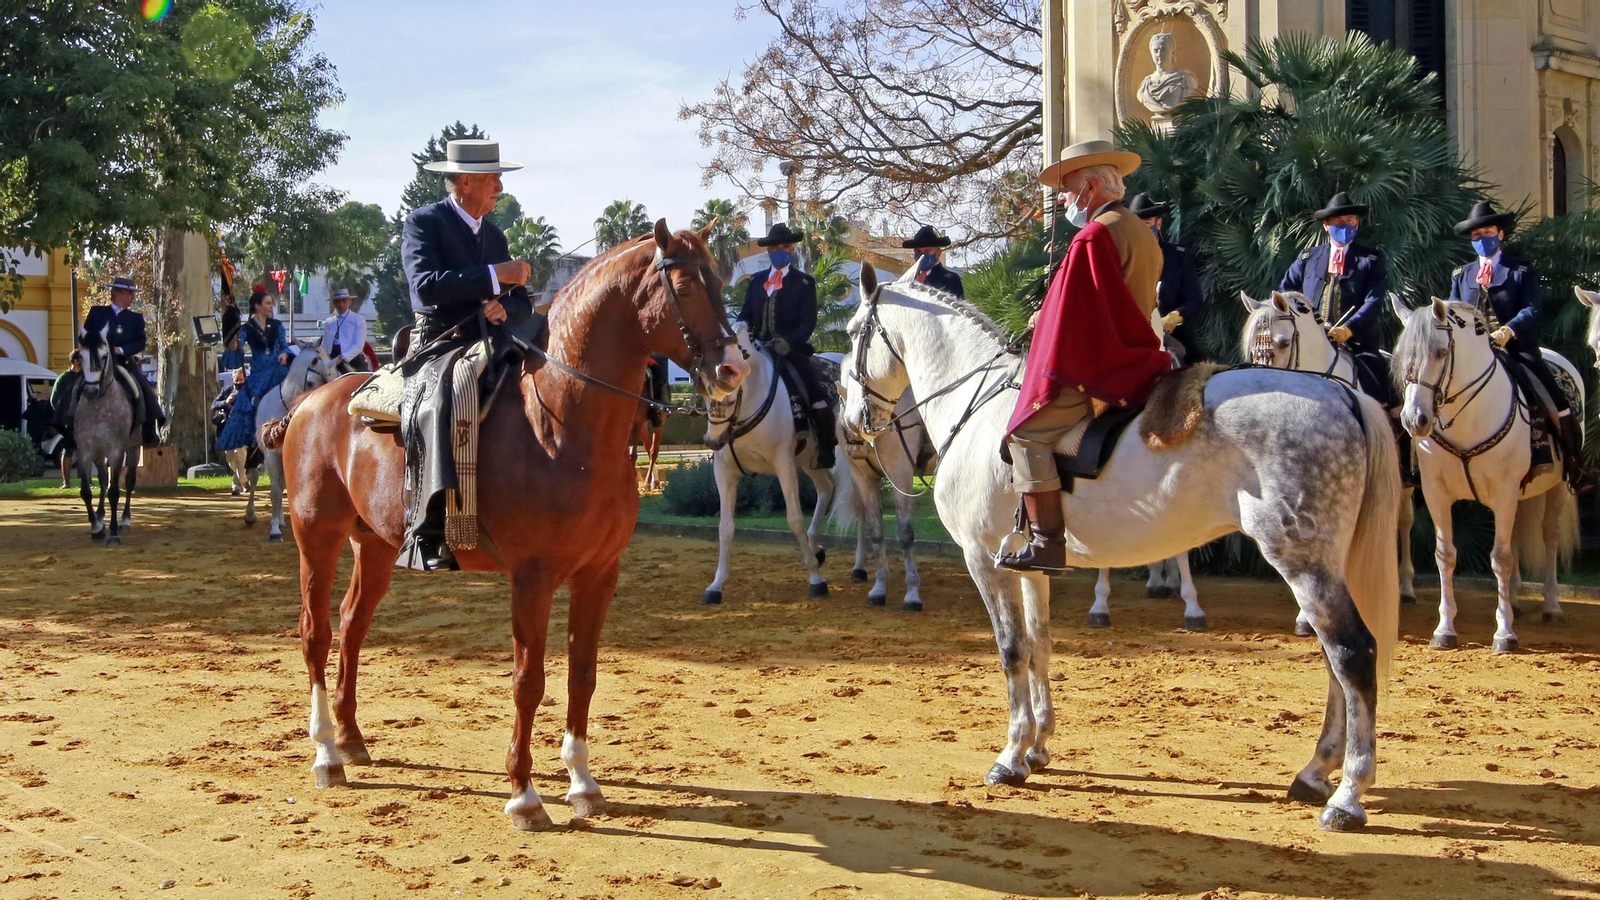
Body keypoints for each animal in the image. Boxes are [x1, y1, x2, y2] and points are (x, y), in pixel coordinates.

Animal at [70, 326, 143, 545]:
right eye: (81, 356)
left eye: (104, 356)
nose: (91, 390)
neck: (98, 407)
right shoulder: (85, 451)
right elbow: (86, 491)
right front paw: (96, 528)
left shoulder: (116, 451)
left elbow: (114, 491)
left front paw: (113, 532)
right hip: (98, 453)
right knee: (103, 479)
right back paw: (101, 516)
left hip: (133, 449)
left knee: (128, 481)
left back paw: (125, 520)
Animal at [270, 221, 747, 831]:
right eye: (685, 287)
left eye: (720, 282)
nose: (733, 368)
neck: (561, 423)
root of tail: (310, 400)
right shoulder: (533, 576)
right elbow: (529, 679)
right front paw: (524, 793)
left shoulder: (599, 574)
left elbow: (583, 673)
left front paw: (583, 783)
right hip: (317, 538)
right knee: (317, 633)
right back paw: (327, 753)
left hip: (374, 546)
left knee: (353, 626)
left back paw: (352, 738)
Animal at [698, 322, 855, 605]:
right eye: (704, 394)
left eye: (731, 396)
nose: (713, 441)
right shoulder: (724, 472)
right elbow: (725, 527)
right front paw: (716, 586)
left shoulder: (784, 464)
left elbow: (794, 519)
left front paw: (816, 580)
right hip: (810, 461)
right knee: (826, 487)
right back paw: (815, 548)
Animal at [841, 266, 1399, 831]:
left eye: (851, 333)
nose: (855, 422)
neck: (980, 409)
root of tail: (1338, 394)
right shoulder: (1029, 567)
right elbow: (1040, 646)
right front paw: (1038, 747)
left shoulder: (984, 561)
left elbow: (1012, 650)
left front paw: (1011, 756)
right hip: (1326, 567)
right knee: (1334, 662)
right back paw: (1315, 771)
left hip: (1304, 564)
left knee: (1352, 654)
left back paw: (1347, 795)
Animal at [1391, 296, 1583, 653]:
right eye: (1400, 358)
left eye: (1441, 352)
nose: (1414, 420)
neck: (1469, 417)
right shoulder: (1437, 493)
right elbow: (1445, 556)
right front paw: (1444, 630)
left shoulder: (1504, 492)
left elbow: (1500, 558)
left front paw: (1504, 633)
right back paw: (1517, 601)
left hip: (1557, 488)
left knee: (1549, 536)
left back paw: (1551, 607)